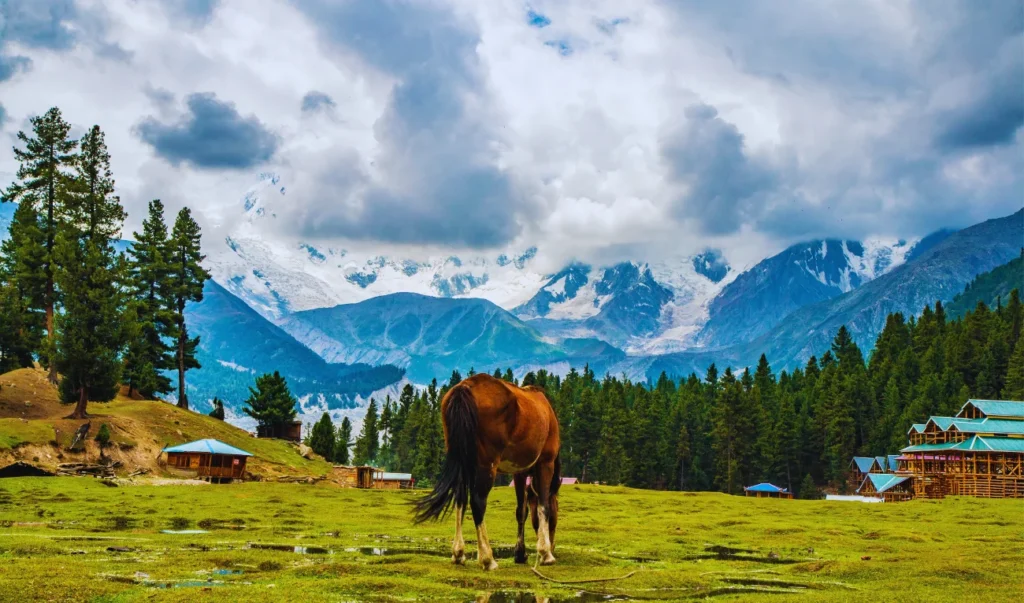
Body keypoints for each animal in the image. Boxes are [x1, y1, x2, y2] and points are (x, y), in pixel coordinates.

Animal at [413, 374, 565, 573]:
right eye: (557, 512)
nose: (553, 546)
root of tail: (465, 387)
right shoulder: (545, 464)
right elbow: (543, 506)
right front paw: (545, 553)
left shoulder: (519, 472)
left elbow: (521, 511)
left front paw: (520, 554)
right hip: (487, 466)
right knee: (477, 503)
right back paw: (488, 558)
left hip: (464, 462)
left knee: (460, 500)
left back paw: (458, 553)